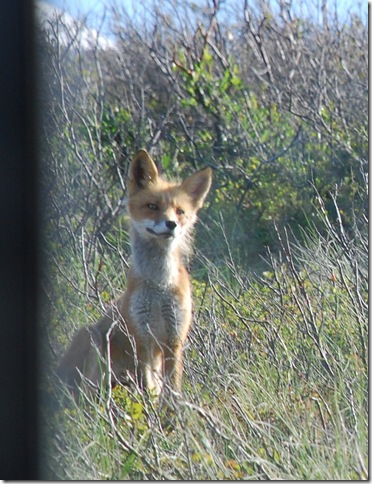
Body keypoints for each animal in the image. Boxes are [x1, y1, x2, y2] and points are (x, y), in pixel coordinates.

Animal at [56, 150, 211, 398]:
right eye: (152, 206)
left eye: (180, 211)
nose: (171, 224)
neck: (158, 287)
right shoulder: (141, 337)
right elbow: (149, 388)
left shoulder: (174, 339)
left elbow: (172, 391)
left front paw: (171, 410)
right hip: (91, 337)